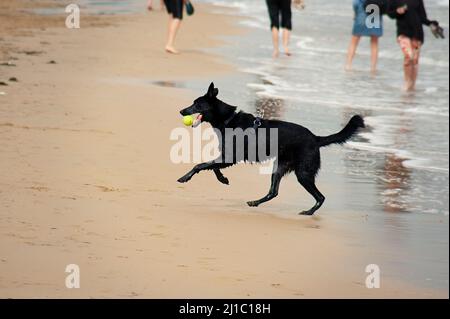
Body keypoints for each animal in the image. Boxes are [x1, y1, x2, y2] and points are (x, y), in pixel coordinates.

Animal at [178, 84, 364, 216]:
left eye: (197, 104)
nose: (181, 111)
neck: (228, 120)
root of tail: (316, 138)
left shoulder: (229, 157)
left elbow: (201, 165)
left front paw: (185, 177)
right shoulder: (226, 157)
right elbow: (212, 167)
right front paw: (223, 179)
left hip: (303, 173)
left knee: (320, 197)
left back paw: (308, 212)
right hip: (279, 167)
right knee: (273, 192)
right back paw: (255, 202)